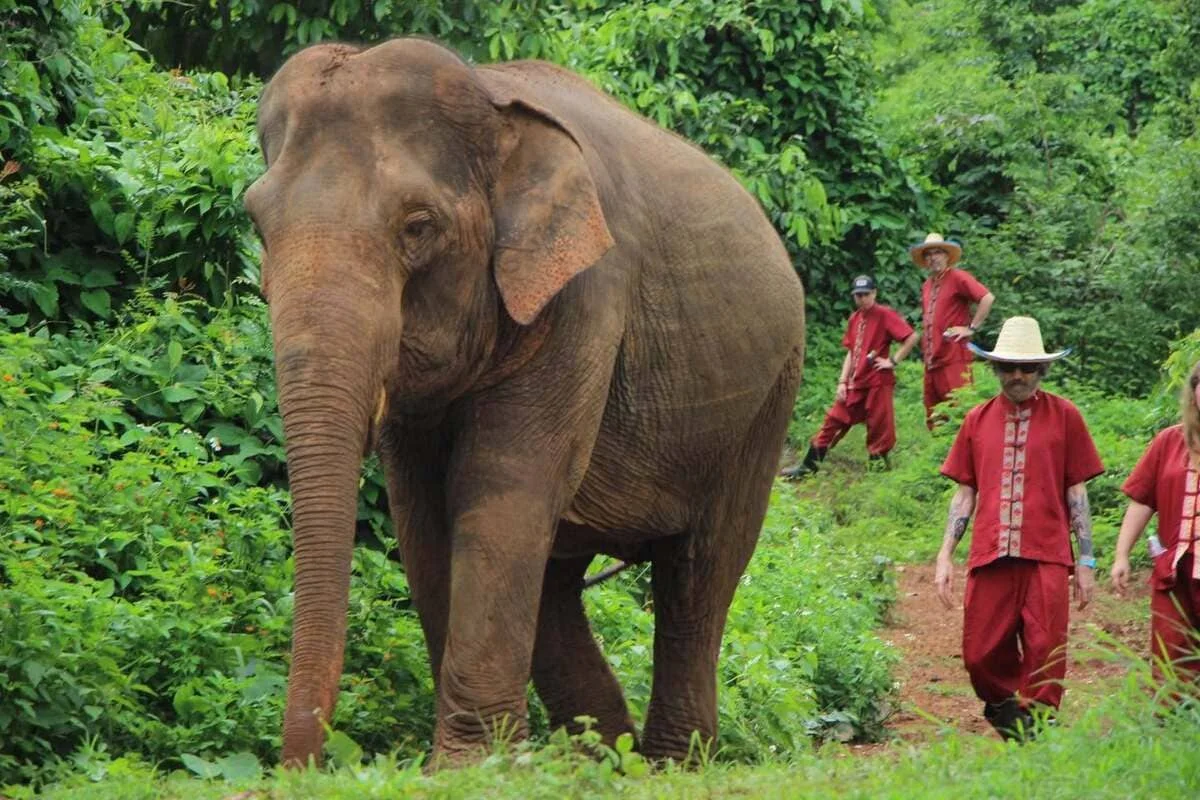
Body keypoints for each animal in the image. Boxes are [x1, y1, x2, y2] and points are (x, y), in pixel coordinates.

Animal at [242, 36, 806, 769]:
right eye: (257, 224)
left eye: (418, 227)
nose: (303, 766)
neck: (493, 104)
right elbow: (424, 515)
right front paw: (482, 763)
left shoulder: (587, 295)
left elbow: (501, 488)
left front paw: (466, 768)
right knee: (561, 582)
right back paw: (603, 757)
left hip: (767, 399)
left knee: (698, 573)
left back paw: (671, 763)